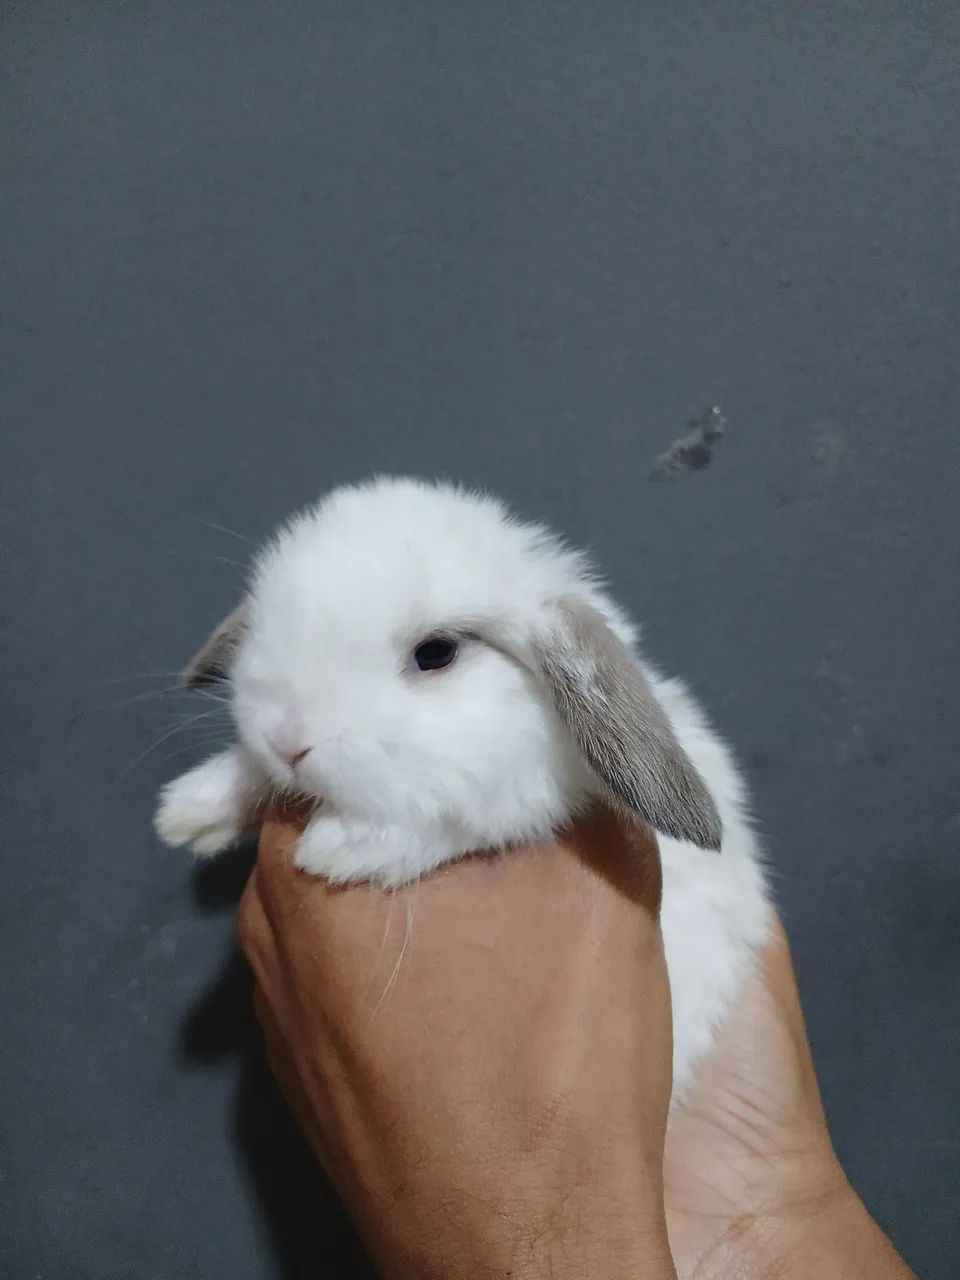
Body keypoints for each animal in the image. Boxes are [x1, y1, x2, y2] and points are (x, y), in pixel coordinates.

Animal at [155, 475, 771, 1094]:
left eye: (436, 653)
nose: (287, 741)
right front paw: (191, 811)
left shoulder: (521, 796)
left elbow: (449, 819)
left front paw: (343, 848)